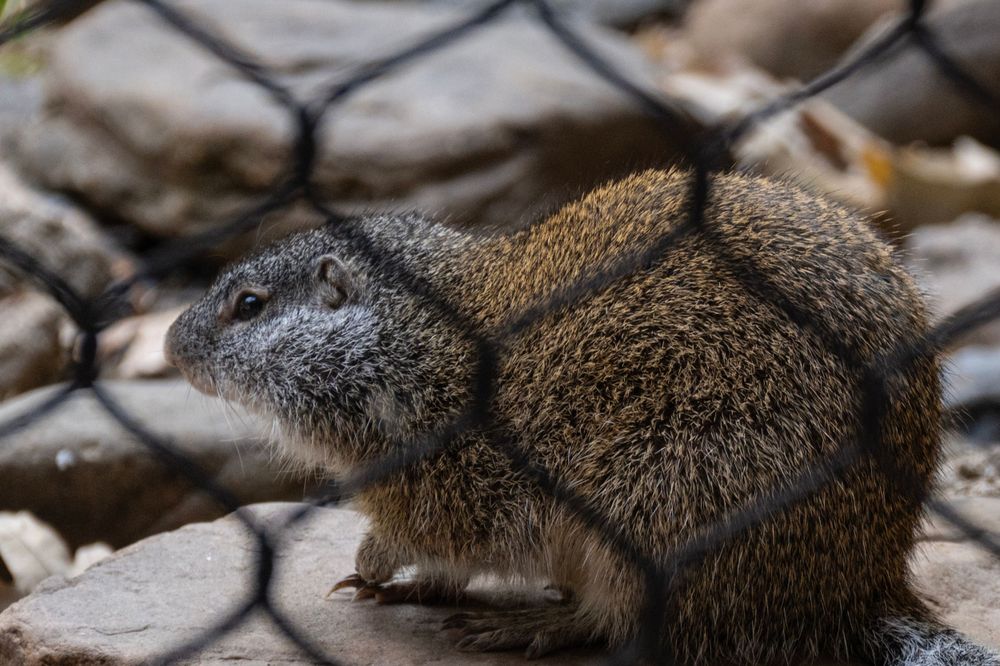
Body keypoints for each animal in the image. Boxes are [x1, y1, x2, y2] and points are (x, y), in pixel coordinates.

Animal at [166, 168, 1000, 665]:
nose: (171, 345)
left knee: (619, 622)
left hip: (657, 501)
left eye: (249, 305)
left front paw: (378, 566)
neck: (411, 340)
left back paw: (524, 626)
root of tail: (863, 592)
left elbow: (425, 540)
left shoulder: (447, 487)